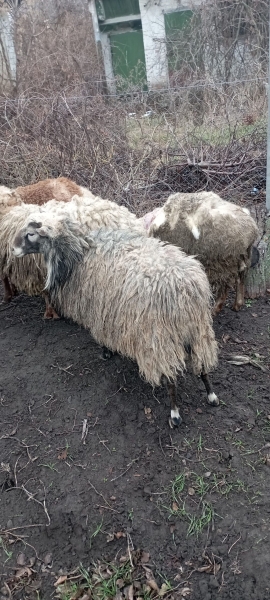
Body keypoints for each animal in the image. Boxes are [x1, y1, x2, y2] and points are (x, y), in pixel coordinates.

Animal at [12, 213, 219, 424]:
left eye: (31, 234)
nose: (13, 249)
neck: (79, 252)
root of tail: (185, 290)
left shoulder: (98, 313)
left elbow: (102, 338)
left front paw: (106, 352)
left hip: (159, 339)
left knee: (170, 377)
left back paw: (175, 414)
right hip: (198, 330)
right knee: (203, 365)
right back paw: (211, 396)